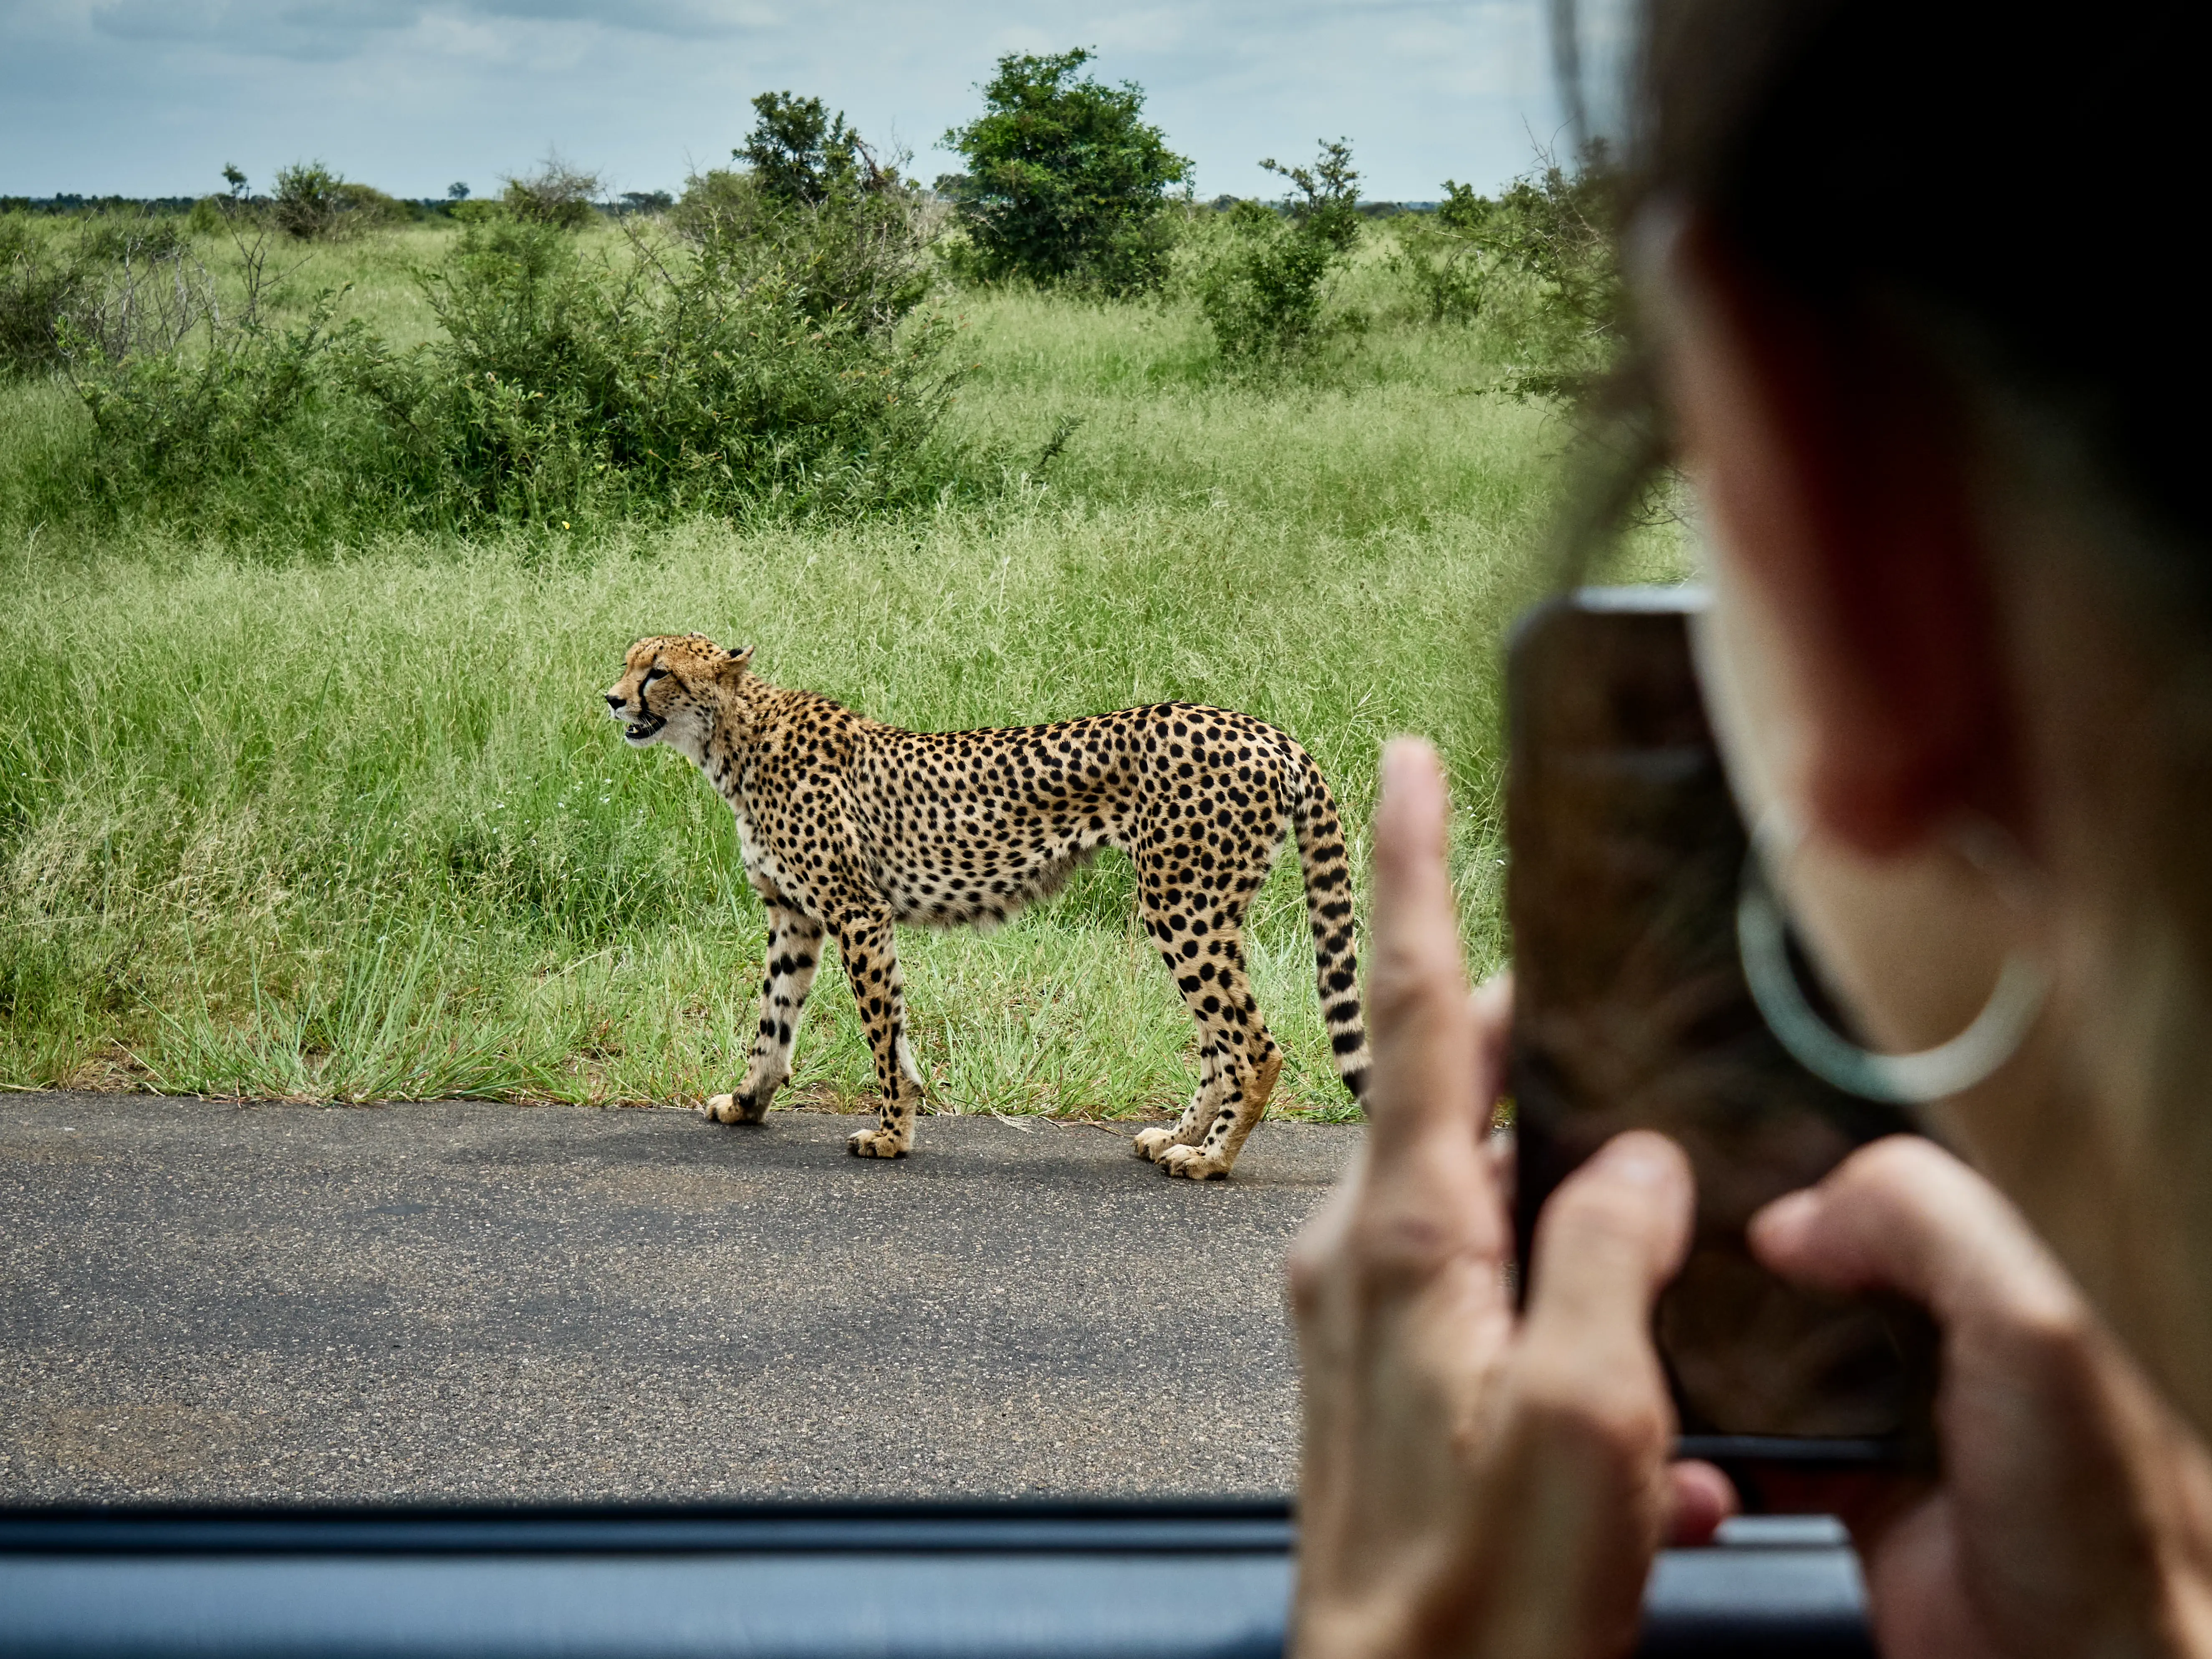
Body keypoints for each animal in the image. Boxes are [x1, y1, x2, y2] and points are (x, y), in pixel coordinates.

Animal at [606, 628, 1362, 1177]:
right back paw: (1177, 1136)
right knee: (1219, 1042)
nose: (613, 699)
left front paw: (892, 1133)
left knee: (1255, 1047)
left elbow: (882, 1031)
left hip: (1184, 906)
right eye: (628, 663)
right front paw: (746, 1102)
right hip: (1199, 909)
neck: (735, 739)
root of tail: (1265, 729)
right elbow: (774, 1019)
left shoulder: (858, 912)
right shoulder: (794, 915)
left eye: (659, 671)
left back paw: (1210, 1159)